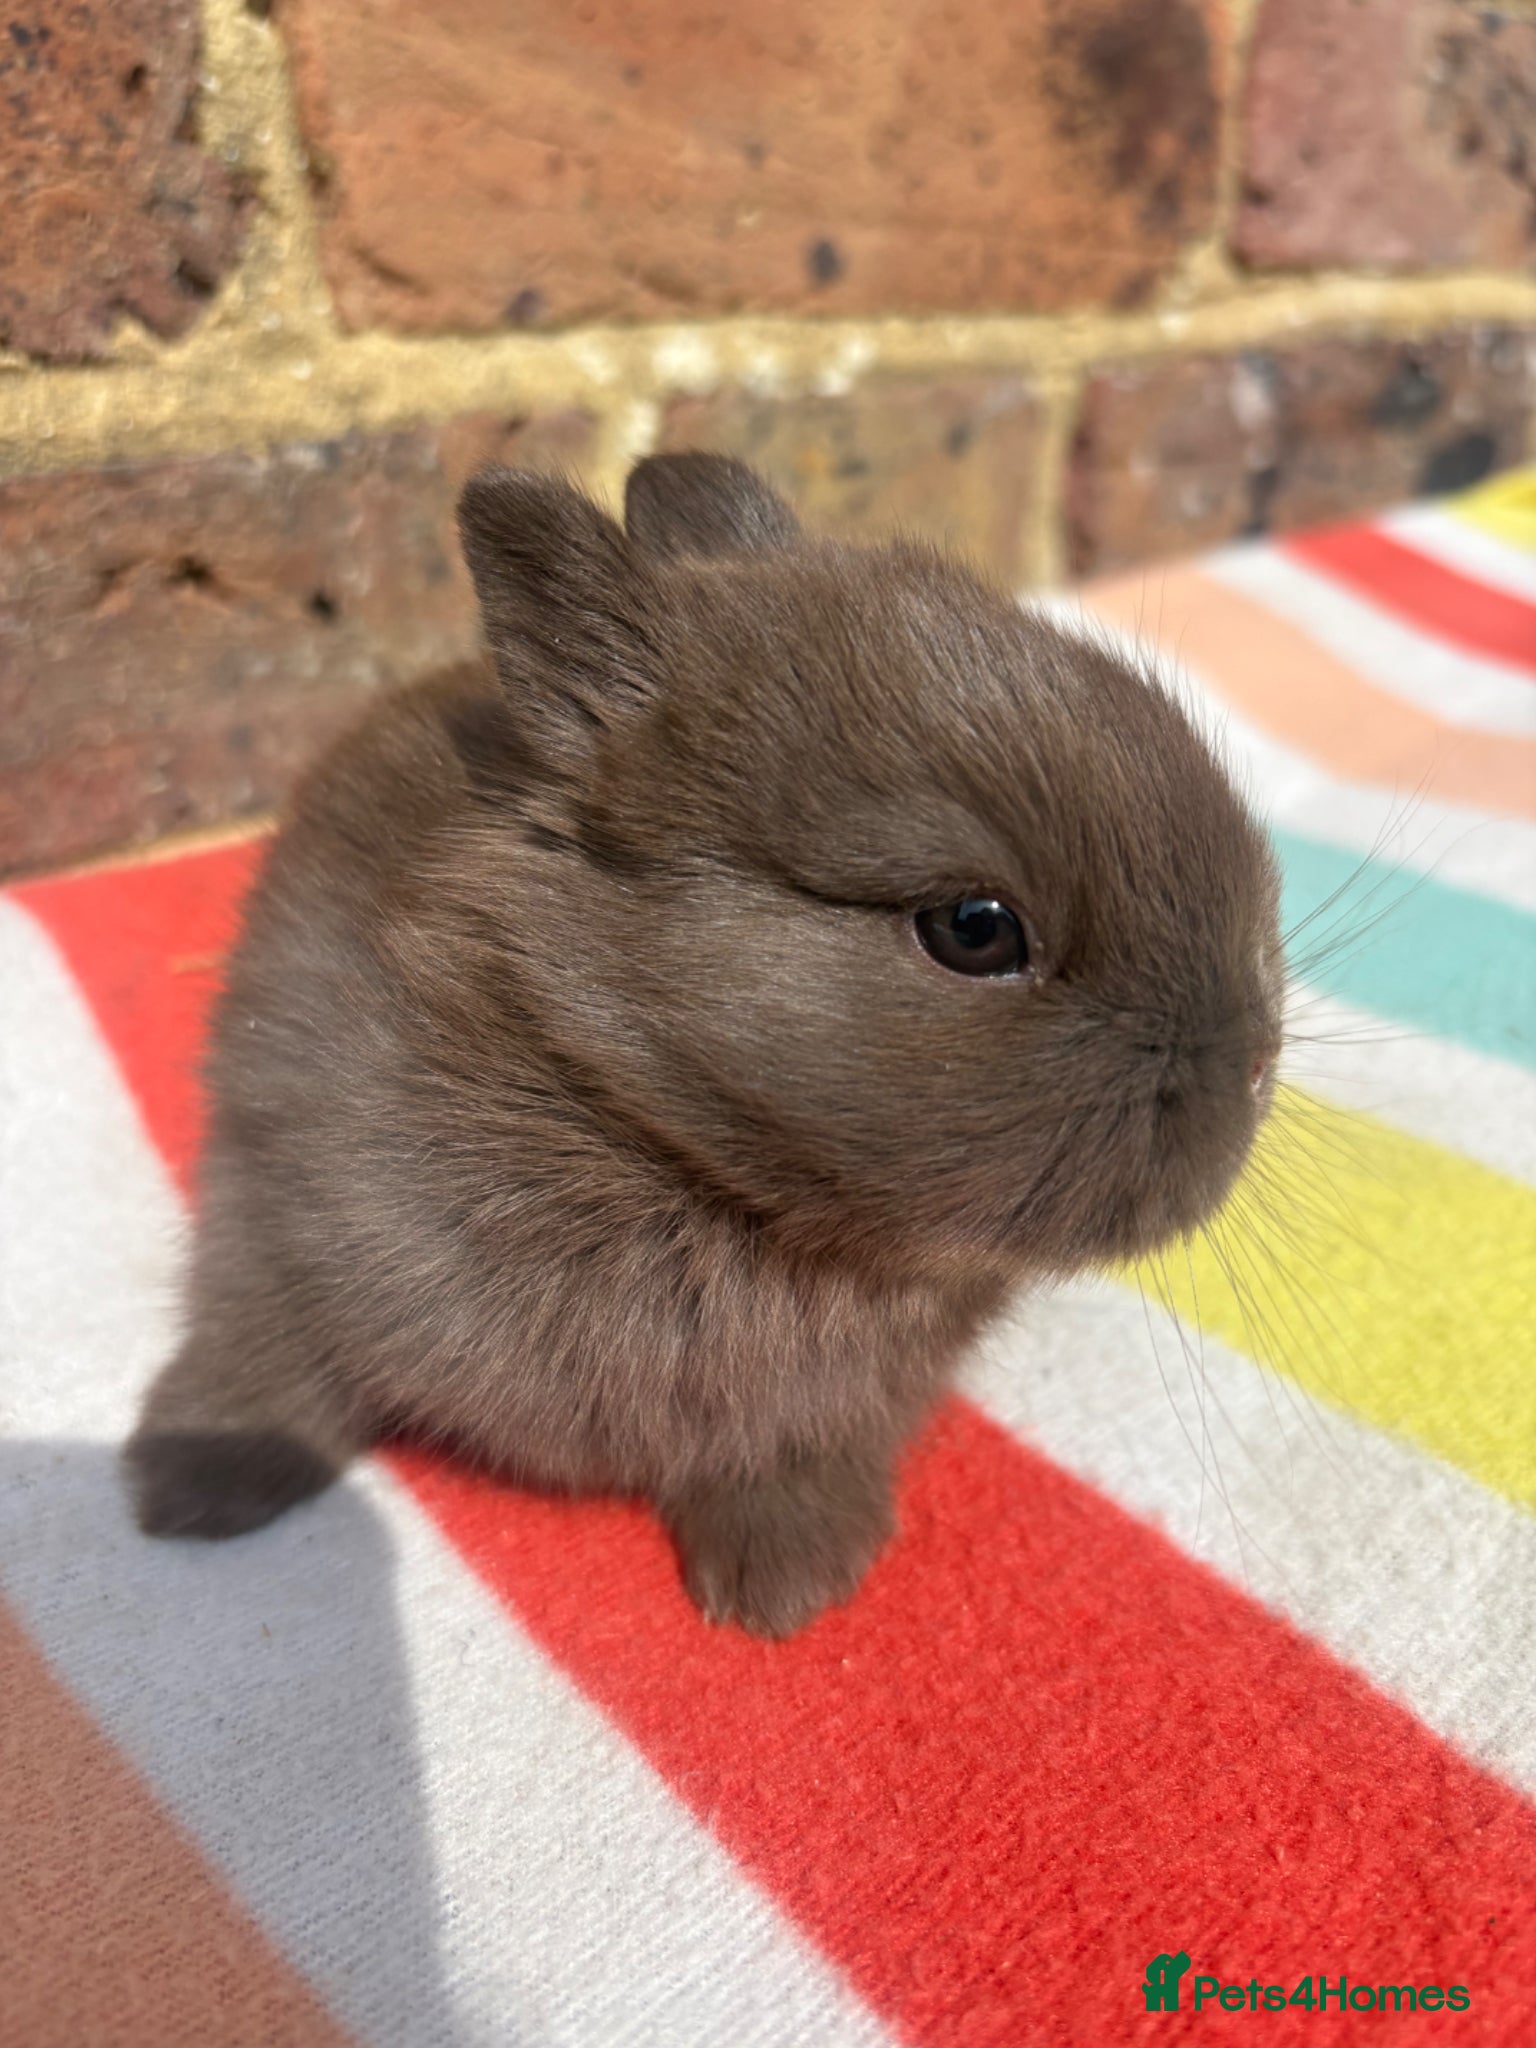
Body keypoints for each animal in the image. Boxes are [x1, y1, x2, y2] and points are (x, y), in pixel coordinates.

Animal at [125, 453, 1284, 1638]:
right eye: (974, 928)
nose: (1250, 1065)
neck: (658, 1139)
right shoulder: (281, 1197)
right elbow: (268, 1343)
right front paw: (189, 1482)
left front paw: (787, 1580)